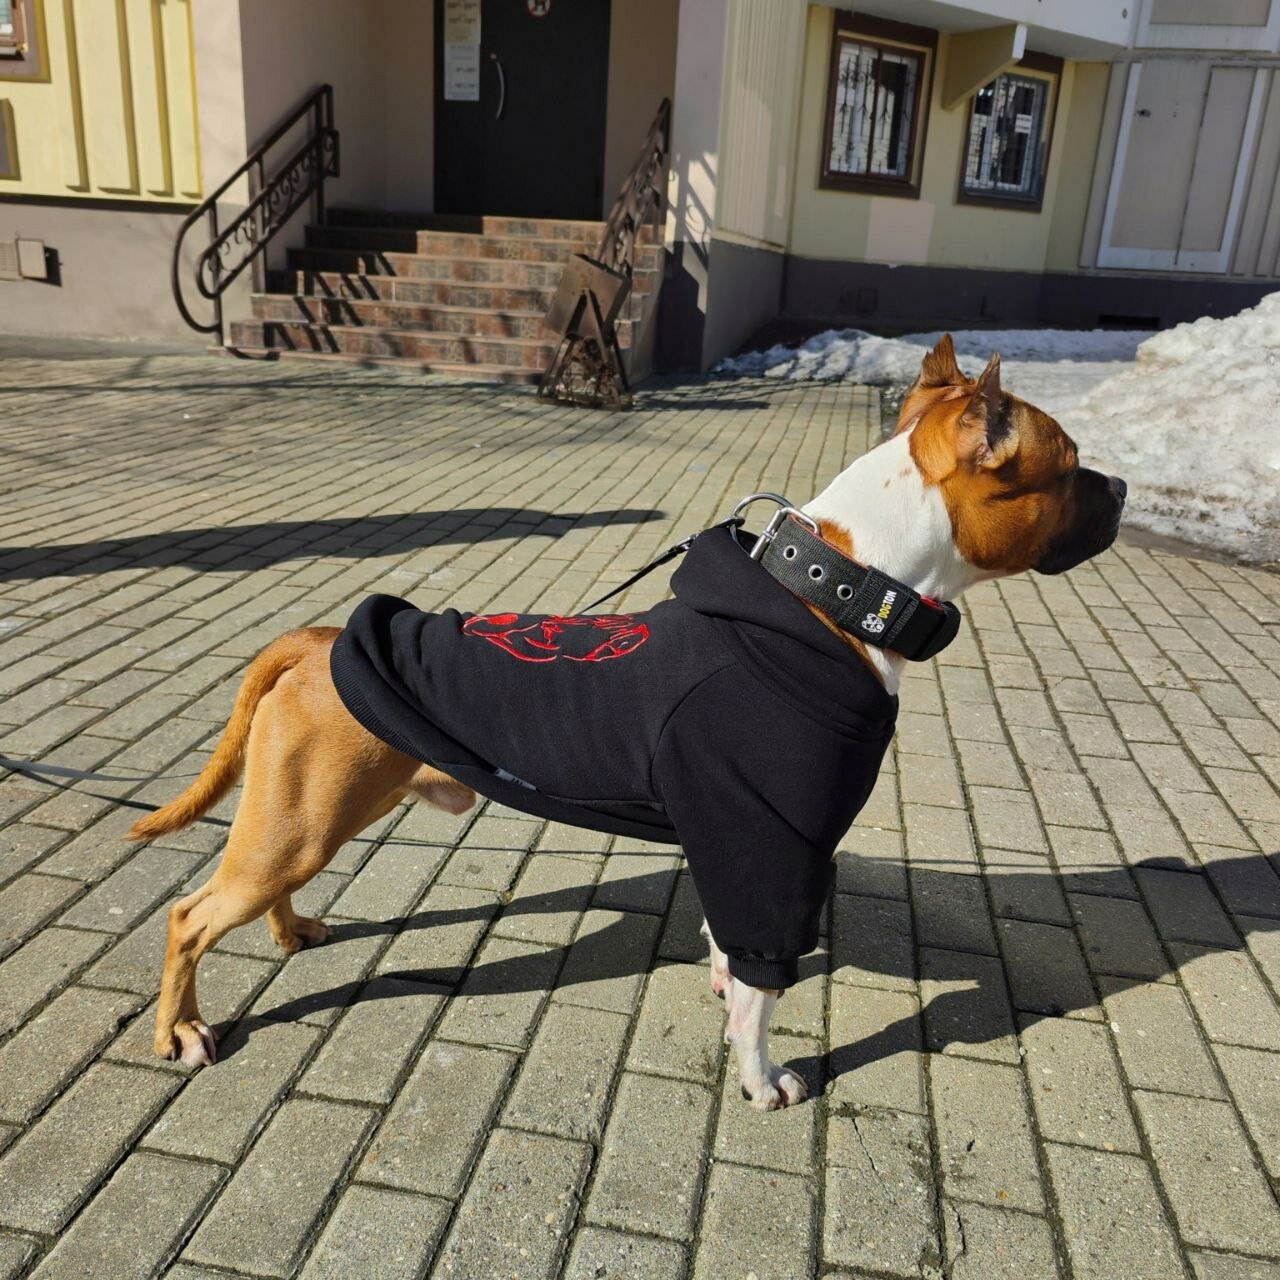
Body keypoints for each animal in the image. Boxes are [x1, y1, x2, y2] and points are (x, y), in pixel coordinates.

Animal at [130, 335, 1126, 1110]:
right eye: (1070, 465)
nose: (1119, 485)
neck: (838, 593)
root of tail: (320, 639)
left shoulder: (737, 841)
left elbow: (730, 956)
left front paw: (723, 996)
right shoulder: (776, 851)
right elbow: (764, 990)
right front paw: (760, 1077)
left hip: (309, 817)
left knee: (263, 888)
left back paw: (291, 932)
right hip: (299, 821)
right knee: (189, 917)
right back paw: (180, 1031)